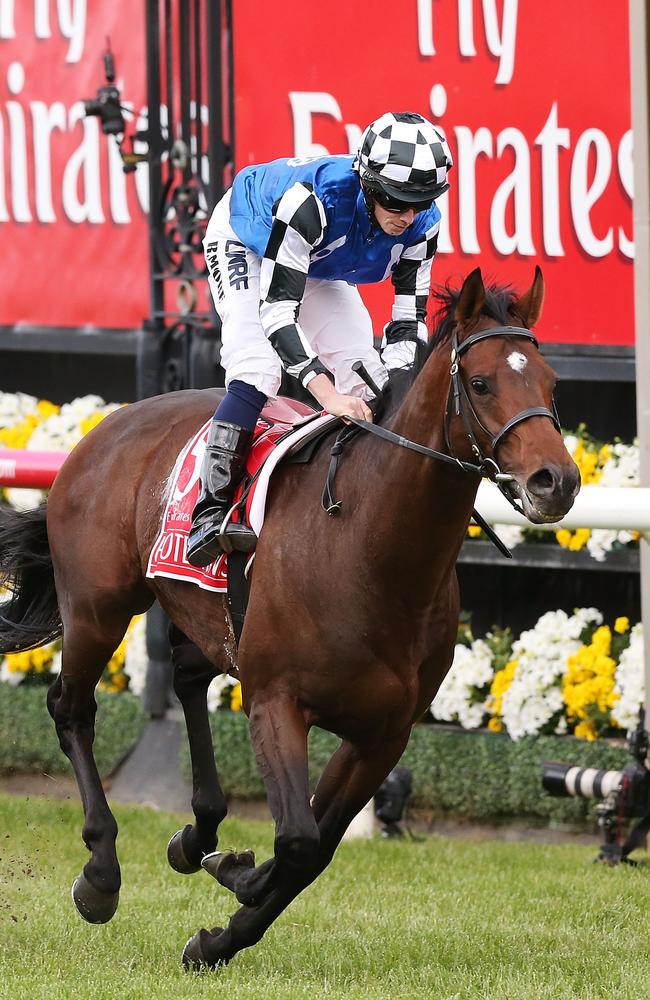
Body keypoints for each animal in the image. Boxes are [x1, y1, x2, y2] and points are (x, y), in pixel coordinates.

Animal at [0, 268, 576, 968]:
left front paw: (222, 922)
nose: (556, 480)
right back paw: (101, 873)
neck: (371, 551)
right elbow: (298, 839)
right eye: (483, 382)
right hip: (98, 605)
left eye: (551, 382)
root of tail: (107, 427)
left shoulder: (383, 734)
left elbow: (316, 846)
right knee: (71, 707)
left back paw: (198, 833)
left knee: (186, 676)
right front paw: (235, 888)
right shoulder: (276, 701)